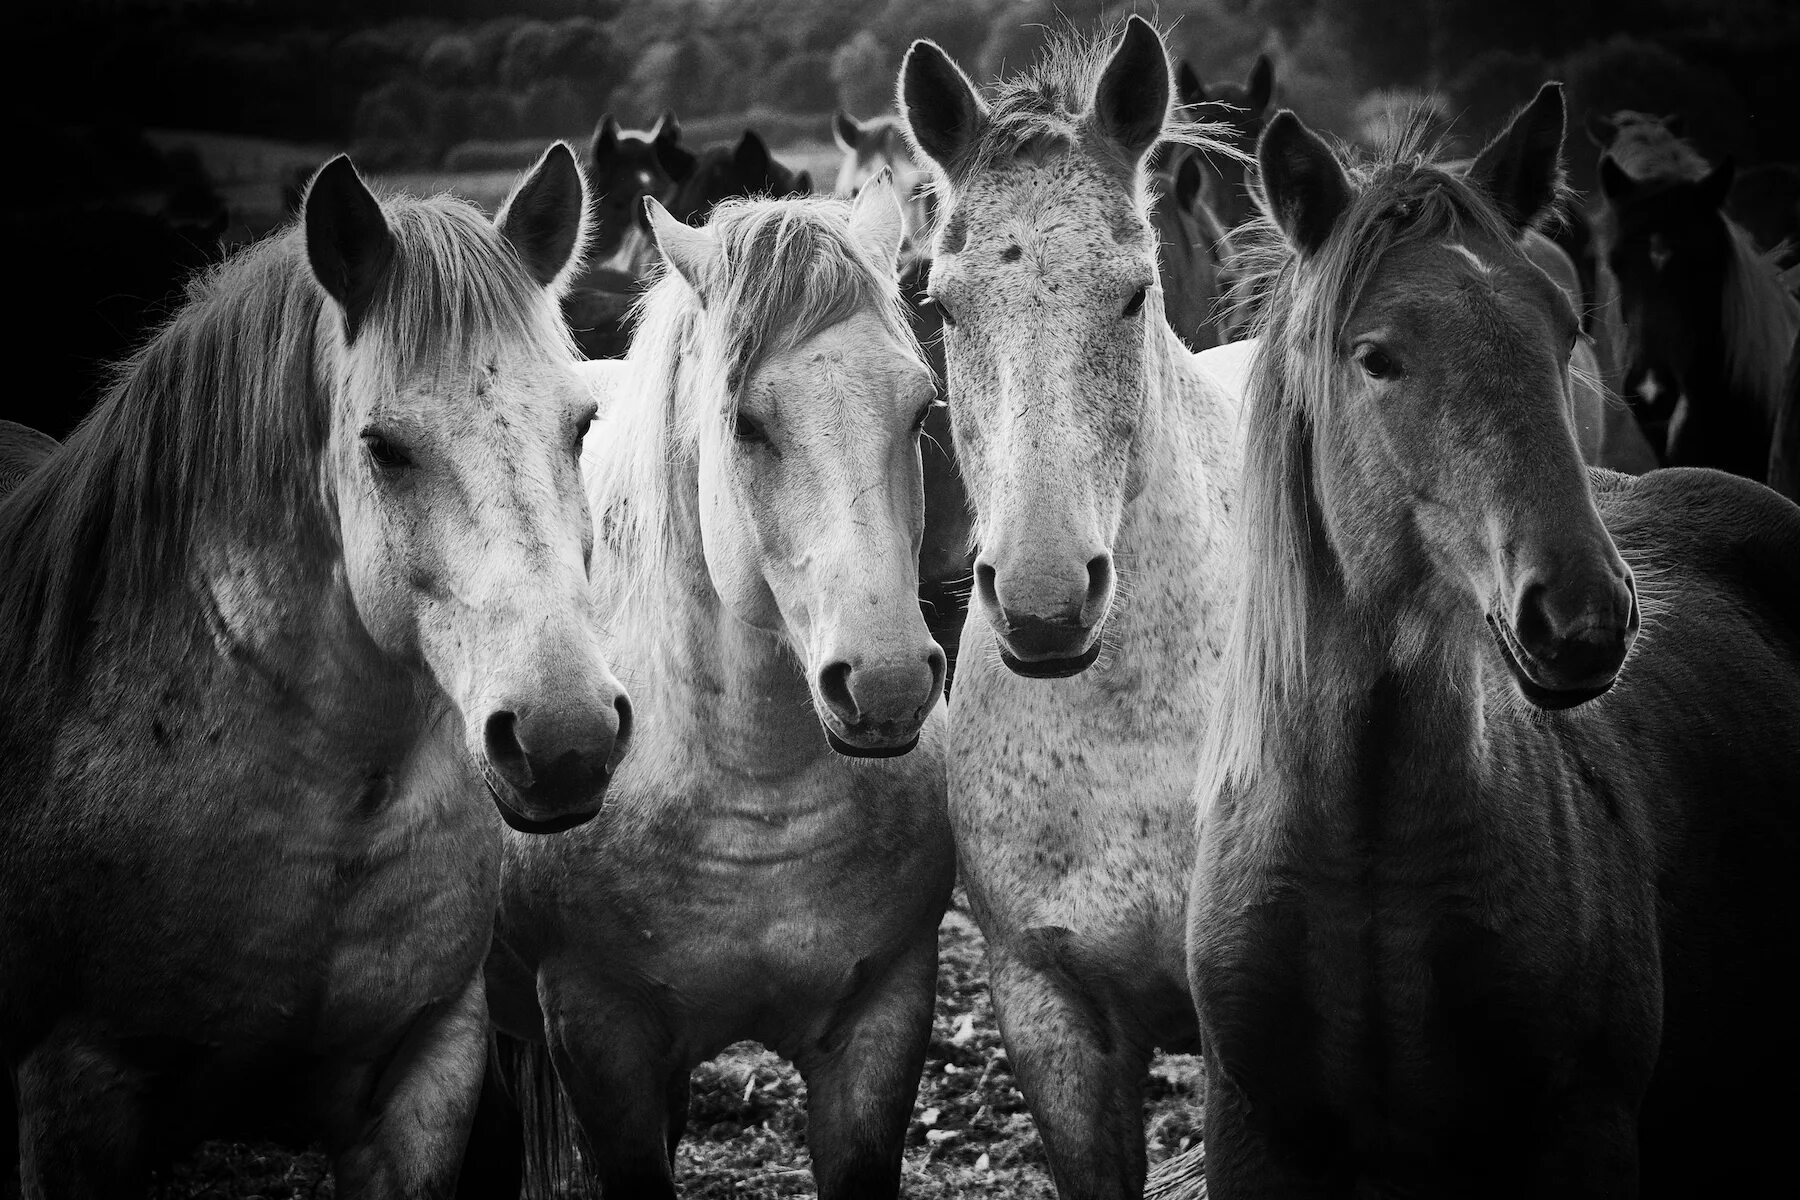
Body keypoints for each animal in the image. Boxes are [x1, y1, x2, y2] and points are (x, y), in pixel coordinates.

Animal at [471, 178, 964, 1200]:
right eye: (746, 422)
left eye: (918, 409)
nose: (890, 684)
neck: (754, 791)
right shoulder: (600, 1039)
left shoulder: (885, 1019)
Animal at [1188, 84, 1792, 1200]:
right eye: (1375, 357)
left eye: (1564, 332)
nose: (1582, 618)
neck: (1365, 857)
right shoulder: (1253, 1138)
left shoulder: (1580, 1132)